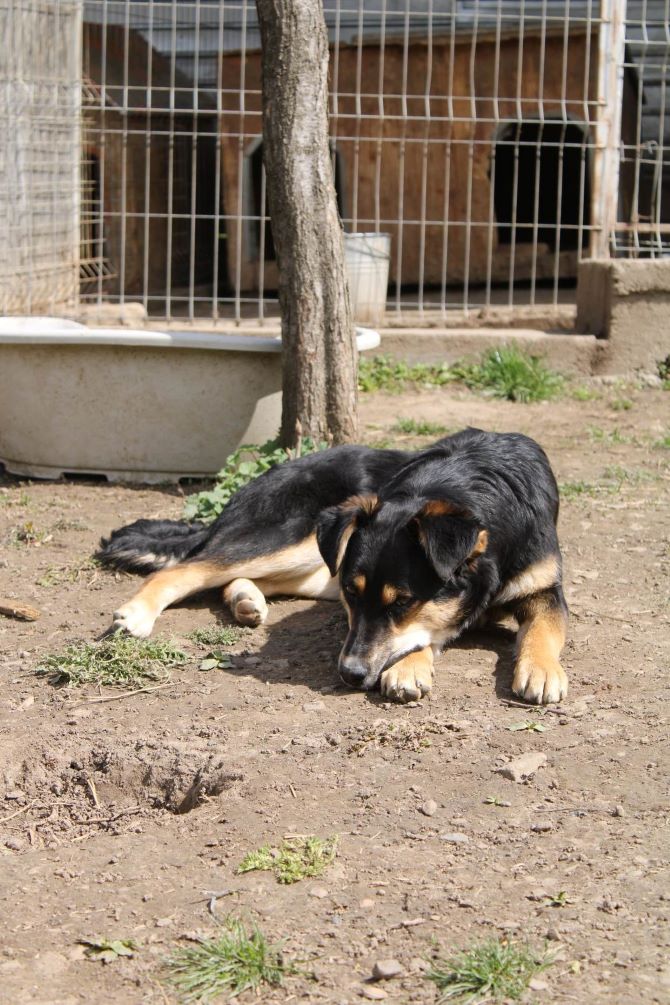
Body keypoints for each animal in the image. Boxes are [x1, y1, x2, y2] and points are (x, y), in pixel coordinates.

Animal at [99, 428, 570, 703]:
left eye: (402, 604)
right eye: (351, 596)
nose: (349, 674)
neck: (471, 485)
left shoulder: (545, 587)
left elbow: (547, 626)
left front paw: (542, 670)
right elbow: (423, 634)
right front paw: (408, 666)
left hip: (313, 563)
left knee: (232, 578)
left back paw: (246, 601)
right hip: (294, 538)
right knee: (188, 568)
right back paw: (136, 614)